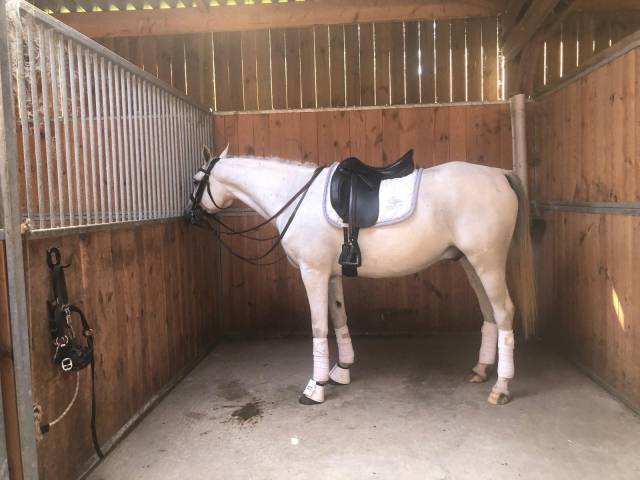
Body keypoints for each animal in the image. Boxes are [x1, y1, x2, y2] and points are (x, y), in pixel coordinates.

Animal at [186, 146, 537, 406]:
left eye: (195, 180)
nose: (190, 216)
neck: (296, 196)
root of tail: (499, 174)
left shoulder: (313, 273)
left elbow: (318, 326)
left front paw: (316, 387)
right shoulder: (331, 274)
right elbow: (339, 318)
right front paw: (341, 370)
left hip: (487, 262)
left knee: (504, 312)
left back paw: (501, 386)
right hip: (470, 263)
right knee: (489, 313)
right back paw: (481, 369)